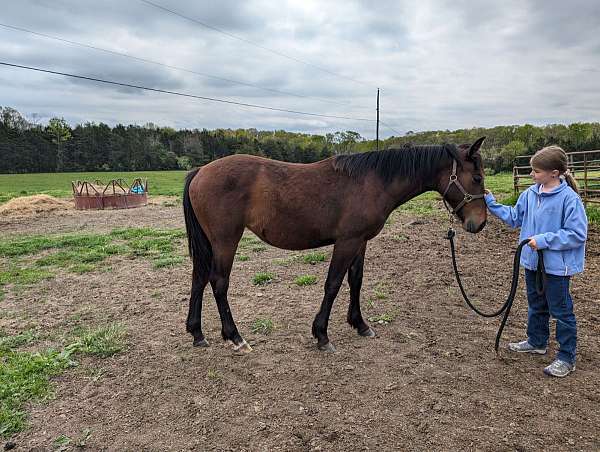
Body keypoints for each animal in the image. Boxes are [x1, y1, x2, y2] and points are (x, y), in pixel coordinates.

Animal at [183, 137, 488, 354]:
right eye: (477, 178)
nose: (480, 223)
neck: (372, 182)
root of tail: (200, 171)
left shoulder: (360, 242)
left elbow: (356, 281)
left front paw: (360, 324)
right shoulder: (347, 242)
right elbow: (333, 284)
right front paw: (322, 335)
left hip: (210, 243)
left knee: (199, 278)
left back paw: (197, 333)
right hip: (226, 240)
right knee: (219, 282)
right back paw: (235, 337)